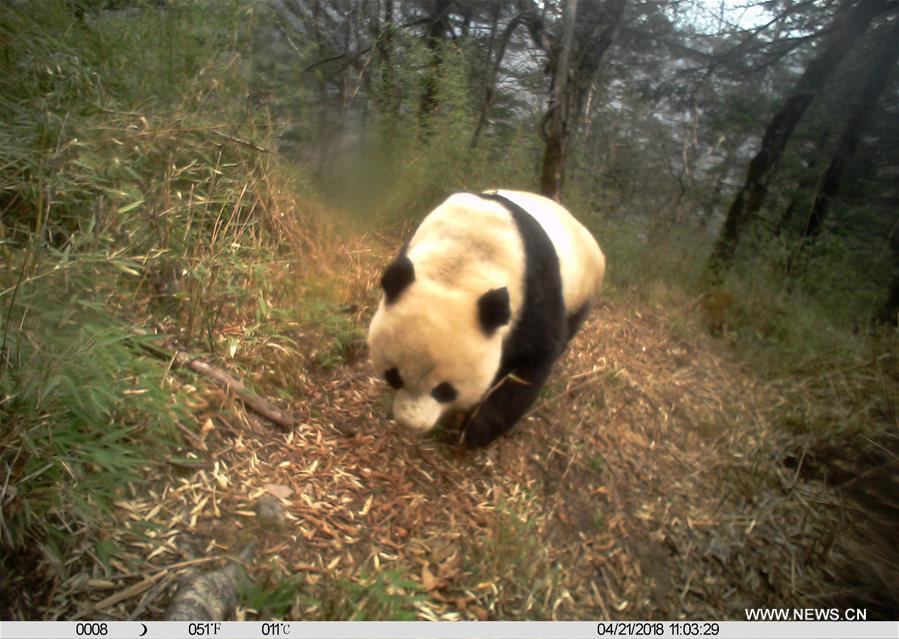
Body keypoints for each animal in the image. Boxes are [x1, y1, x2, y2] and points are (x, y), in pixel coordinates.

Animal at [366, 190, 604, 448]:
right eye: (394, 377)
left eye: (444, 391)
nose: (411, 424)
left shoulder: (534, 292)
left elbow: (533, 361)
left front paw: (475, 432)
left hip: (581, 289)